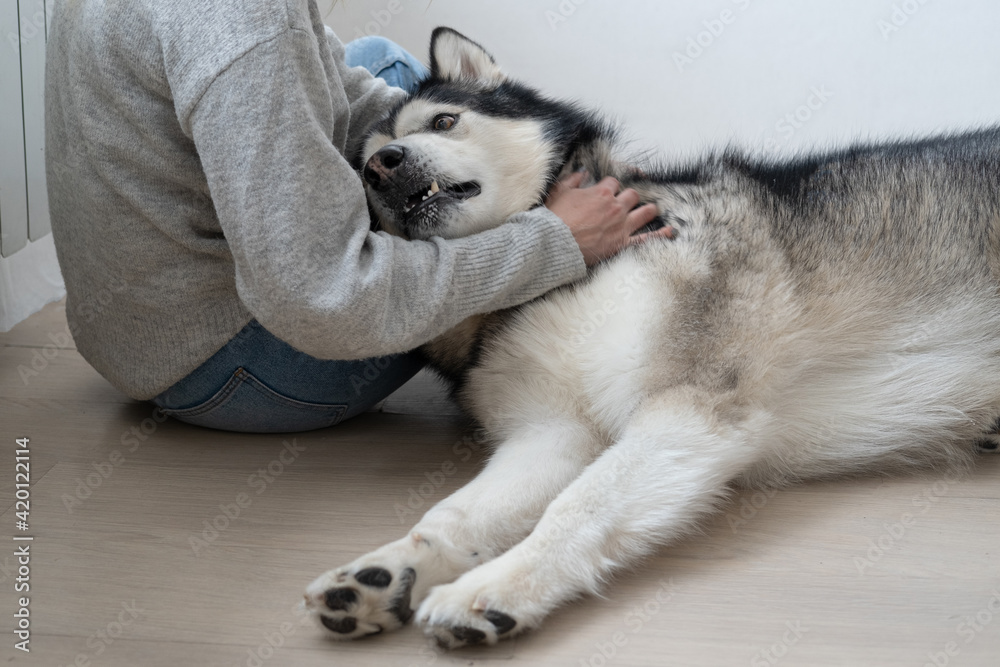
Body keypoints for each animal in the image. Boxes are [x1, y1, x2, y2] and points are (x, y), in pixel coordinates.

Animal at [302, 28, 1000, 648]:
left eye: (443, 122)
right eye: (365, 172)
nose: (382, 165)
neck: (536, 288)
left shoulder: (691, 410)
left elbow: (577, 507)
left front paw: (492, 587)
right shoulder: (553, 432)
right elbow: (451, 514)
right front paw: (387, 572)